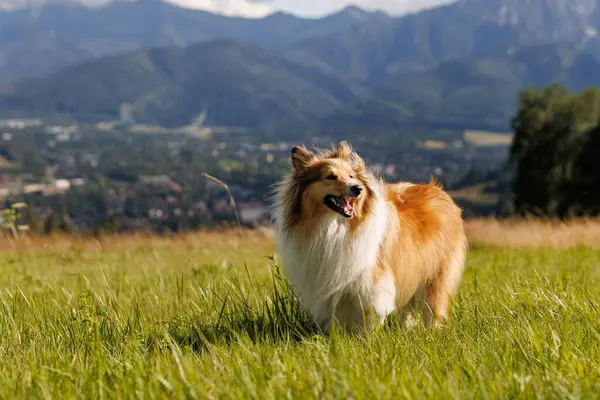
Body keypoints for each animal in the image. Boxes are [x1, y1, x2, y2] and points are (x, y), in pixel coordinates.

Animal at [274, 142, 468, 332]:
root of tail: (438, 189)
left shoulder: (373, 282)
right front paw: (336, 338)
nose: (357, 188)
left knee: (433, 309)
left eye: (351, 175)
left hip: (436, 274)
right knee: (408, 310)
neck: (334, 225)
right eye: (330, 176)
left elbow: (370, 314)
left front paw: (368, 338)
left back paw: (431, 333)